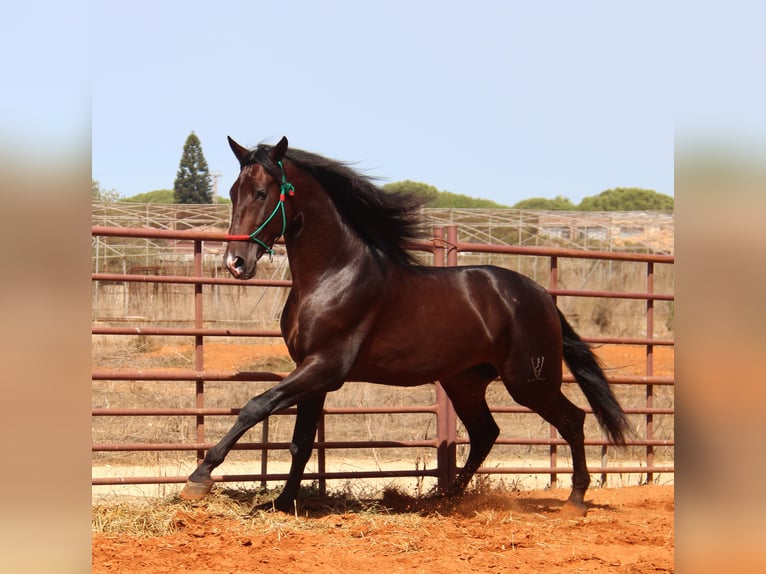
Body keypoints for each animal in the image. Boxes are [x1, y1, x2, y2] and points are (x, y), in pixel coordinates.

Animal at [180, 137, 632, 520]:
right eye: (233, 192)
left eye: (262, 193)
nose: (235, 262)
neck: (333, 276)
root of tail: (541, 296)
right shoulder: (311, 372)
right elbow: (301, 442)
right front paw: (283, 501)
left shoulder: (325, 367)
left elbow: (256, 405)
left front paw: (198, 479)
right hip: (465, 382)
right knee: (486, 433)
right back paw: (443, 498)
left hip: (530, 381)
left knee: (572, 420)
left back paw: (575, 500)